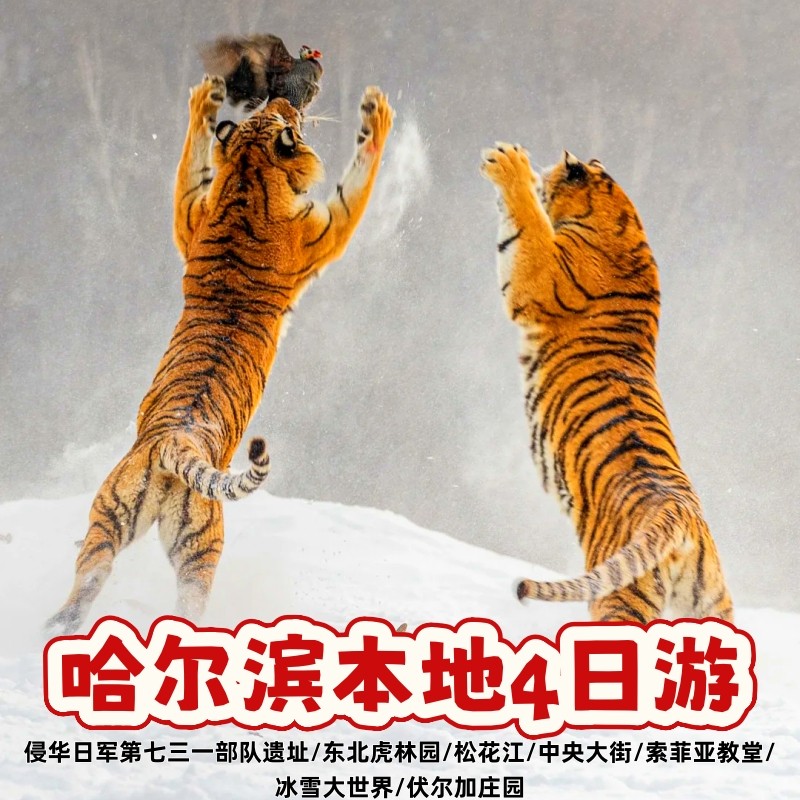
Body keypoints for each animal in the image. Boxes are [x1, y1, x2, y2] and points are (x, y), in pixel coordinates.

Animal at [46, 75, 394, 635]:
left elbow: (190, 164)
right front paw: (376, 114)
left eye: (269, 110)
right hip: (201, 546)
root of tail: (173, 443)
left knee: (88, 577)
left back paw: (57, 628)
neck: (249, 175)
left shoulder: (189, 214)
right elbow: (361, 175)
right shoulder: (327, 228)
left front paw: (205, 101)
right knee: (188, 600)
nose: (284, 98)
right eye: (287, 116)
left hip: (109, 514)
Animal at [480, 143, 733, 623]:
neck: (618, 211)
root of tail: (679, 514)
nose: (538, 165)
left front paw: (508, 164)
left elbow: (525, 223)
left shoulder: (537, 272)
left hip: (621, 598)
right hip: (712, 601)